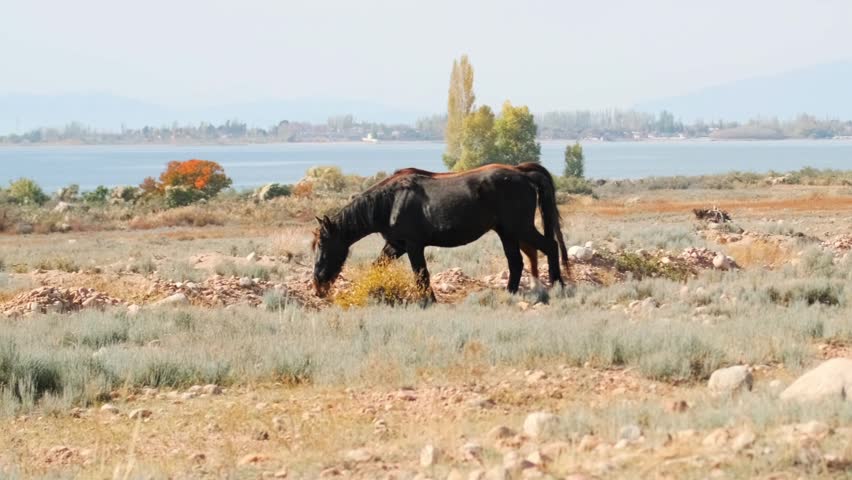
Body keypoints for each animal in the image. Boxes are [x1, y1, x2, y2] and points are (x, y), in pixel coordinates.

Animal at [311, 162, 569, 300]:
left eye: (323, 244)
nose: (317, 286)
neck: (391, 202)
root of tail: (522, 172)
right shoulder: (396, 245)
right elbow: (378, 267)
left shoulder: (414, 246)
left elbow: (421, 275)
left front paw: (429, 301)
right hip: (506, 232)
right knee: (516, 263)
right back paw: (510, 293)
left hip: (520, 228)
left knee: (550, 246)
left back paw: (559, 286)